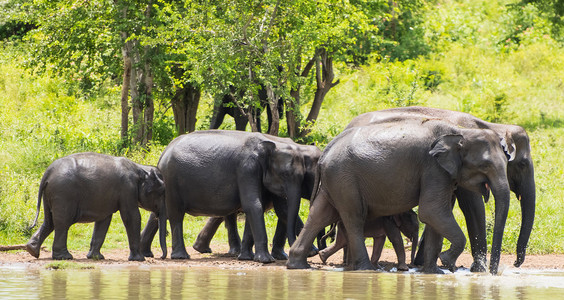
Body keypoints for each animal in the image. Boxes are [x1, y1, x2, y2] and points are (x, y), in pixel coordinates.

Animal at [25, 152, 166, 260]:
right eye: (161, 192)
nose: (161, 257)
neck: (139, 168)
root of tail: (47, 173)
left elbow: (104, 220)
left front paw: (96, 257)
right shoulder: (127, 189)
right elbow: (132, 217)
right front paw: (139, 259)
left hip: (50, 195)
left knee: (49, 221)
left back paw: (32, 250)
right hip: (63, 193)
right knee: (62, 223)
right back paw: (65, 257)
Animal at [156, 129, 310, 262]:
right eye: (284, 175)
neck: (271, 142)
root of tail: (163, 153)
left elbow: (259, 207)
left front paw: (249, 257)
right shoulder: (247, 169)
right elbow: (253, 204)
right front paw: (266, 260)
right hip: (171, 181)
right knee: (176, 215)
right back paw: (181, 256)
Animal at [288, 118, 512, 274]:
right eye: (485, 165)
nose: (493, 274)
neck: (460, 131)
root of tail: (325, 151)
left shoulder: (443, 174)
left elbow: (436, 216)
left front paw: (434, 272)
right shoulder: (433, 168)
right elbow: (431, 211)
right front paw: (447, 262)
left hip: (335, 179)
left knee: (320, 214)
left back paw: (297, 265)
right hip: (344, 178)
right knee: (354, 217)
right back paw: (366, 269)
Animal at [346, 106, 536, 274]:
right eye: (522, 164)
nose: (515, 263)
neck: (493, 126)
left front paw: (424, 263)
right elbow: (473, 207)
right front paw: (478, 270)